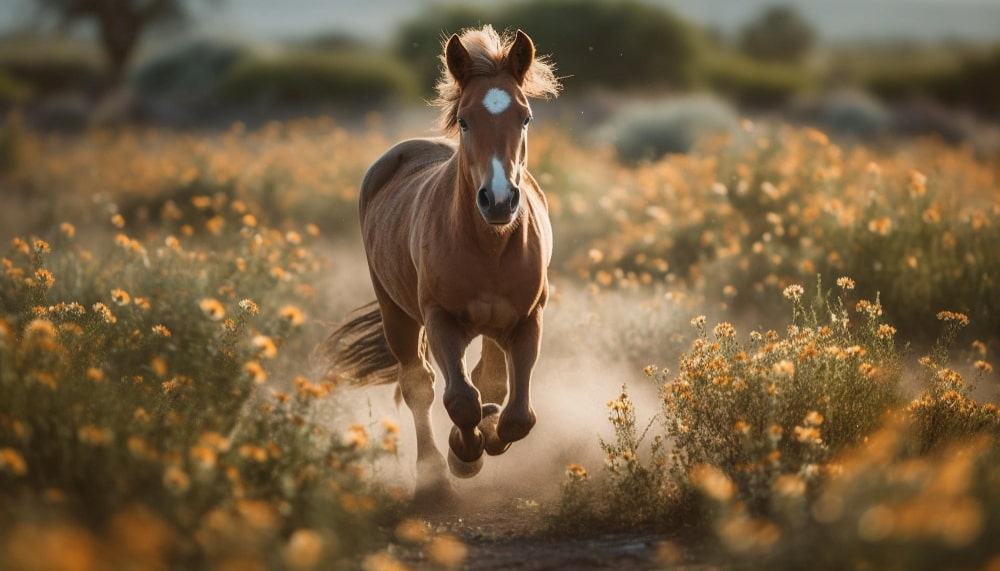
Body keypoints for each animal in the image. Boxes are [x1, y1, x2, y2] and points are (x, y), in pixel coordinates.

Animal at [316, 24, 560, 502]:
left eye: (524, 117)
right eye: (465, 120)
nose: (498, 200)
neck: (488, 246)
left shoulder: (527, 320)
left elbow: (517, 414)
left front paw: (491, 433)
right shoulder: (440, 318)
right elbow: (458, 400)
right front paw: (463, 455)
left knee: (487, 380)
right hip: (397, 314)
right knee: (419, 385)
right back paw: (433, 473)